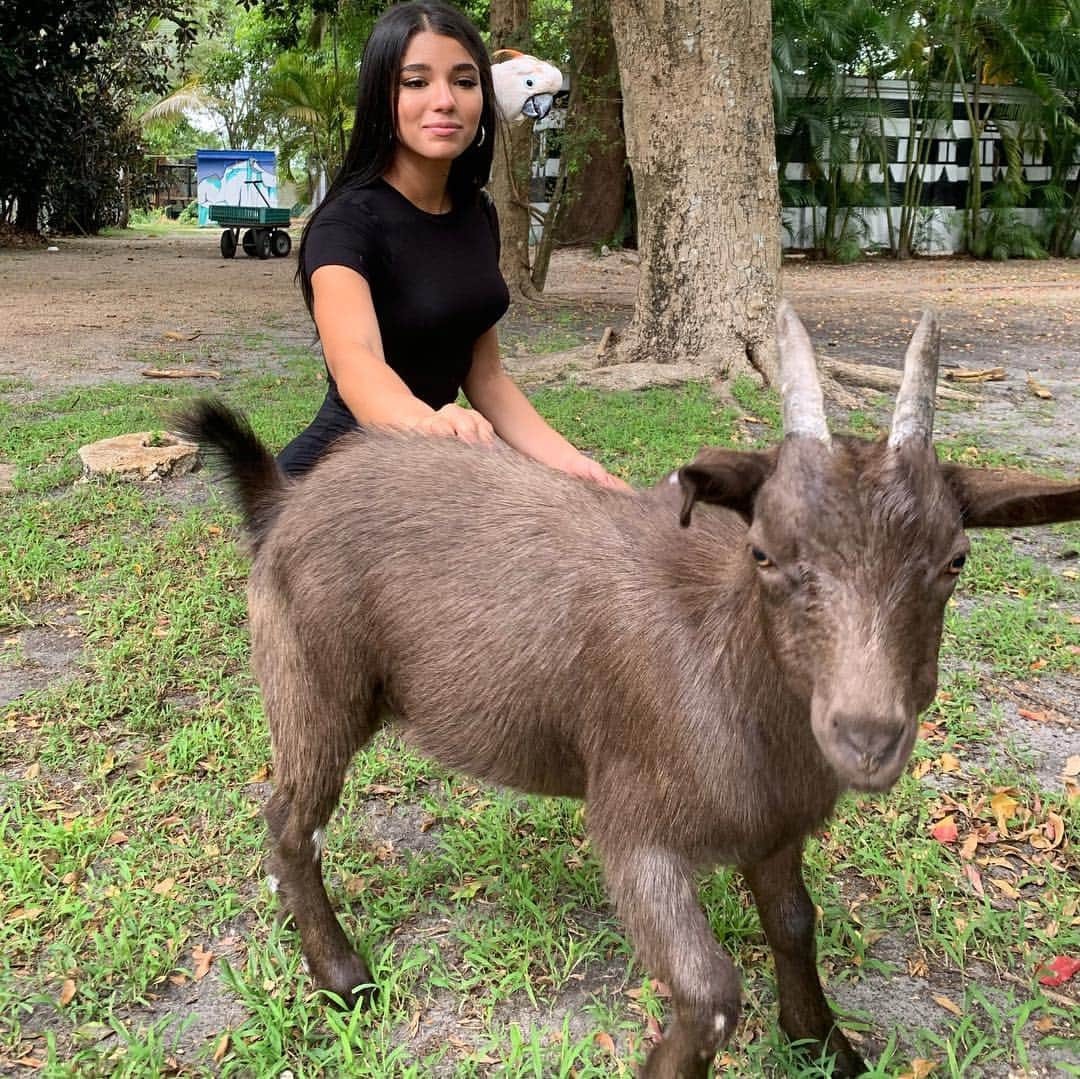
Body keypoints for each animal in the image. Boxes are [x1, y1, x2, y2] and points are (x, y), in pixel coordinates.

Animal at [179, 306, 1080, 1079]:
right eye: (762, 550)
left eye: (956, 559)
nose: (867, 735)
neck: (727, 668)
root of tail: (285, 498)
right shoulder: (632, 826)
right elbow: (712, 993)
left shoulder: (773, 827)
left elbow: (795, 923)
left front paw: (824, 1044)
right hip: (313, 687)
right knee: (292, 820)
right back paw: (343, 976)